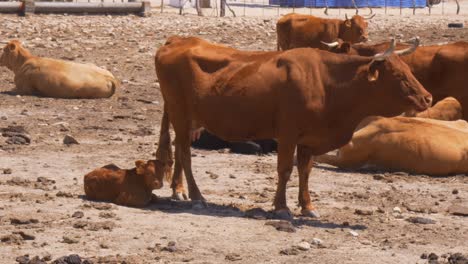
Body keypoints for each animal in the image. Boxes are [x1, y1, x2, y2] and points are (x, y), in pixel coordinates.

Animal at [154, 36, 432, 219]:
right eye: (398, 75)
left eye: (409, 69)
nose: (427, 98)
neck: (326, 82)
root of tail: (178, 40)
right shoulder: (287, 134)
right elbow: (286, 169)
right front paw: (282, 207)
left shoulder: (309, 138)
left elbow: (305, 171)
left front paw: (307, 206)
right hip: (180, 114)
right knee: (185, 155)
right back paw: (197, 195)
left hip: (185, 119)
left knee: (178, 149)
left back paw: (179, 190)